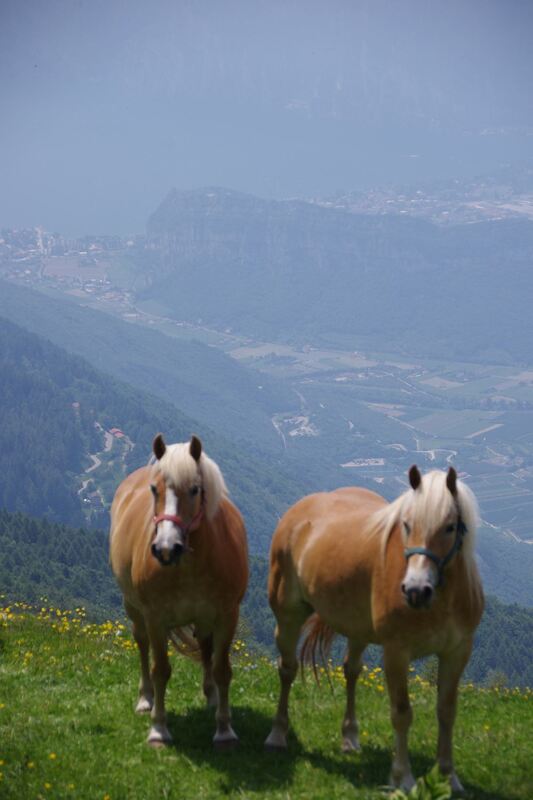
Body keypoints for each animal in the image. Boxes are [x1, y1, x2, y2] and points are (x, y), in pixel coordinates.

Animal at [111, 434, 248, 748]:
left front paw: (224, 729)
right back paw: (145, 698)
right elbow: (160, 670)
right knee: (142, 645)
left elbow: (222, 670)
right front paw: (158, 729)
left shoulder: (226, 615)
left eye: (195, 490)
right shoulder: (156, 618)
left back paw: (211, 695)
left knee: (207, 649)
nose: (165, 548)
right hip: (134, 608)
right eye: (154, 489)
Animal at [264, 466, 482, 792]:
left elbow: (447, 711)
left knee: (351, 670)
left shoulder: (457, 652)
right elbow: (402, 713)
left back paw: (350, 737)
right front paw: (403, 777)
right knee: (288, 669)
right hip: (288, 615)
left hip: (358, 629)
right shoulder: (396, 653)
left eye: (450, 527)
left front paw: (448, 776)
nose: (416, 590)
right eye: (406, 524)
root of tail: (298, 512)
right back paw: (277, 734)